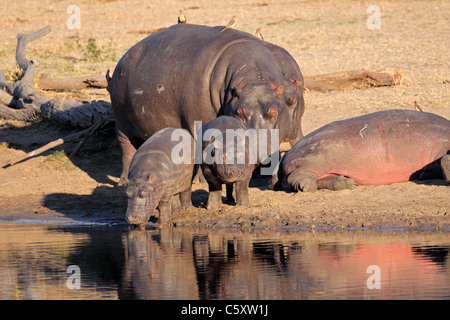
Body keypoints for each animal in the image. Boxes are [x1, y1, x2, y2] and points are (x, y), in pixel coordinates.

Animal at [109, 23, 292, 185]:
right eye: (239, 112)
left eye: (273, 112)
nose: (259, 154)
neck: (254, 81)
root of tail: (125, 56)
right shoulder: (198, 121)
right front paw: (201, 181)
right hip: (122, 122)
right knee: (127, 149)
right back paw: (124, 181)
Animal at [276, 109, 448, 192]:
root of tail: (289, 152)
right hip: (317, 158)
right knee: (298, 175)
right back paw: (306, 186)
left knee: (323, 179)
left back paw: (344, 183)